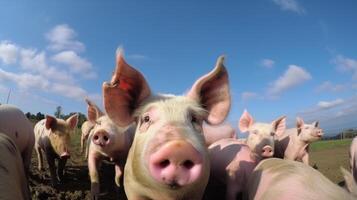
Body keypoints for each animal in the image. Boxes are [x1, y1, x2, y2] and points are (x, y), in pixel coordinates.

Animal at [103, 50, 231, 200]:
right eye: (146, 119)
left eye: (194, 119)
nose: (178, 148)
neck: (166, 196)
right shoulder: (131, 187)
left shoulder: (199, 189)